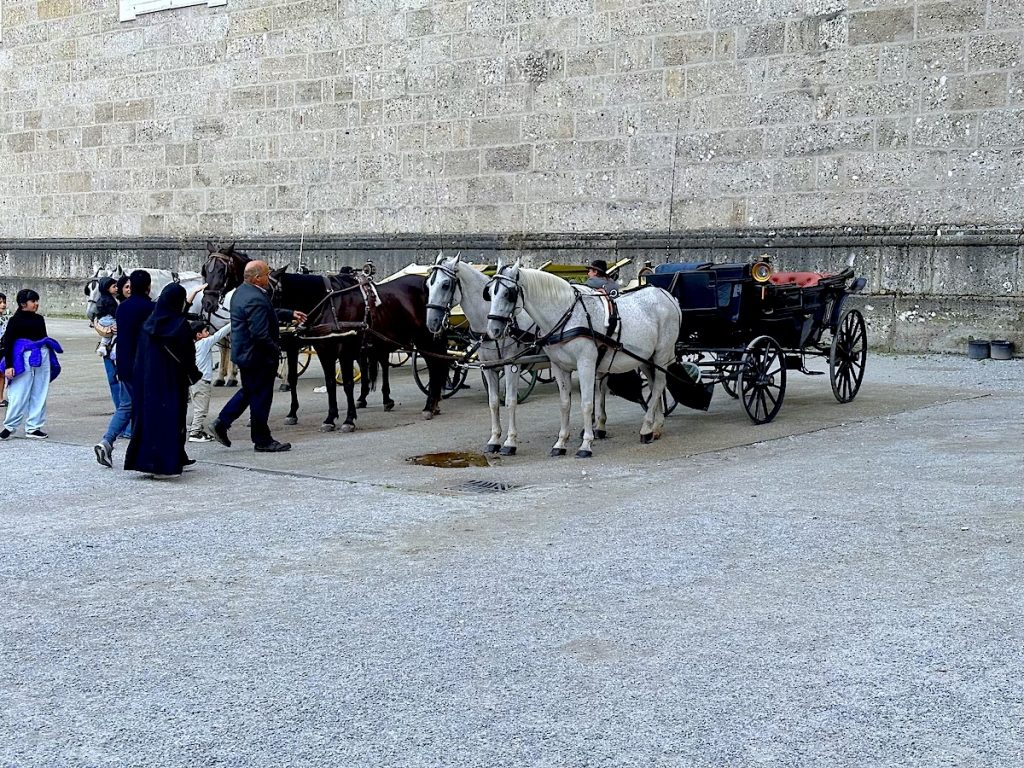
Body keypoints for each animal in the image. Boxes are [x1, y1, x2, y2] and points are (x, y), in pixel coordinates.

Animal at [423, 252, 540, 456]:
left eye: (445, 284)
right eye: (428, 284)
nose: (432, 322)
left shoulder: (512, 365)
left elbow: (510, 401)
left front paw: (510, 442)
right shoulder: (488, 367)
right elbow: (493, 402)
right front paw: (494, 440)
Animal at [485, 262, 679, 460]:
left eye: (508, 293)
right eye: (490, 292)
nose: (493, 330)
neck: (567, 316)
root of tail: (666, 295)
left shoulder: (586, 364)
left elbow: (586, 404)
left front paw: (586, 444)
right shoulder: (559, 367)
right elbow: (565, 404)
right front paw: (561, 443)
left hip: (661, 355)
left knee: (658, 386)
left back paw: (647, 428)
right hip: (645, 359)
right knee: (655, 385)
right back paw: (656, 425)